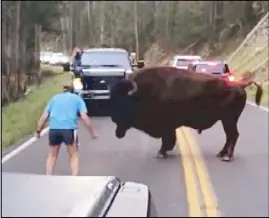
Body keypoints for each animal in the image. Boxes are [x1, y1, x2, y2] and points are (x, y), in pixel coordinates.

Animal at [109, 66, 262, 162]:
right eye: (112, 98)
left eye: (124, 101)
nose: (113, 118)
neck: (142, 93)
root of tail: (240, 85)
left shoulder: (167, 126)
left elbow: (167, 140)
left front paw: (161, 153)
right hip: (227, 120)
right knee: (230, 136)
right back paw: (221, 154)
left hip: (228, 120)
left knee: (233, 135)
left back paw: (227, 157)